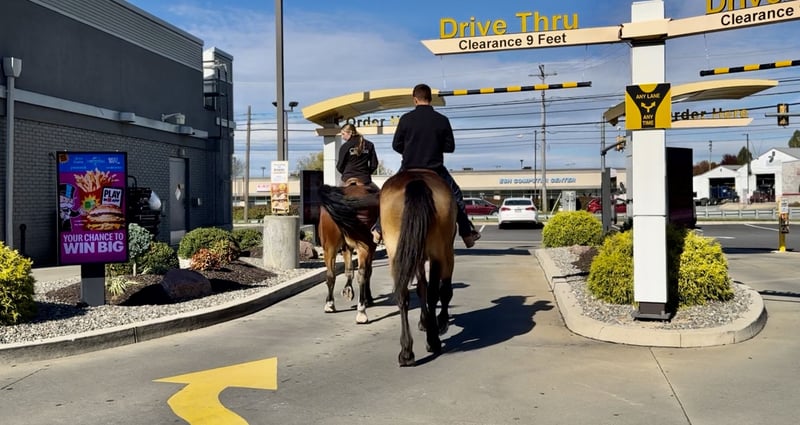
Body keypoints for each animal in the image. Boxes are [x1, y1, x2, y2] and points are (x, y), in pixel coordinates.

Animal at [317, 179, 380, 324]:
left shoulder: (346, 247)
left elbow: (349, 269)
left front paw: (348, 290)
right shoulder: (370, 248)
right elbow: (367, 272)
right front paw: (367, 298)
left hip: (329, 247)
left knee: (330, 274)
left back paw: (330, 304)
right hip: (364, 246)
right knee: (362, 274)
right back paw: (361, 311)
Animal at [379, 169, 457, 367]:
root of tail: (415, 180)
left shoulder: (417, 257)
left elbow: (421, 288)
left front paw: (425, 320)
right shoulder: (447, 253)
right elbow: (444, 290)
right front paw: (440, 322)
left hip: (395, 253)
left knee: (403, 295)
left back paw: (406, 351)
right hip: (439, 253)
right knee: (434, 293)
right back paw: (433, 340)